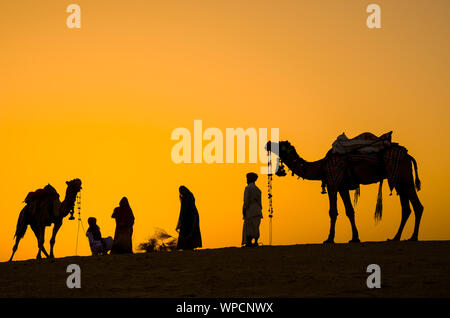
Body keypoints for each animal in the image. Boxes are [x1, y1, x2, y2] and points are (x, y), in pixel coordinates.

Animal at [266, 140, 424, 243]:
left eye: (279, 143)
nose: (267, 143)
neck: (321, 166)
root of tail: (408, 156)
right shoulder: (342, 187)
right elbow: (349, 211)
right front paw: (355, 238)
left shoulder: (332, 183)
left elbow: (333, 211)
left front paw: (329, 239)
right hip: (398, 179)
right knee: (406, 208)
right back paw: (395, 238)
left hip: (404, 176)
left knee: (417, 206)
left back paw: (413, 237)